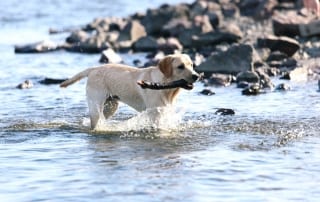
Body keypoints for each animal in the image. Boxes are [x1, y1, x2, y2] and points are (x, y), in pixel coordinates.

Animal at [60, 53, 199, 129]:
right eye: (180, 67)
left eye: (191, 65)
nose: (197, 76)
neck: (168, 89)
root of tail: (93, 69)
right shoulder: (155, 115)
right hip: (96, 107)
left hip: (110, 107)